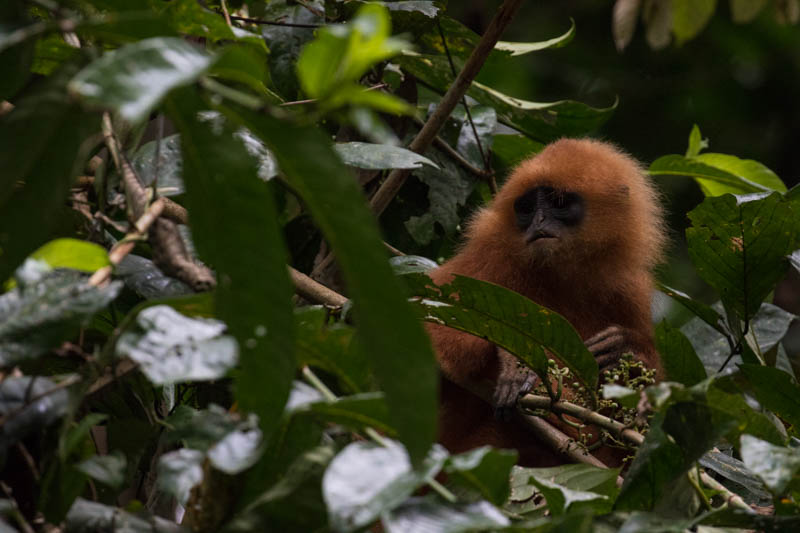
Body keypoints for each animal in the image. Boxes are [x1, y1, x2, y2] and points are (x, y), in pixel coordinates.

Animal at [428, 138, 664, 466]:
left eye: (559, 203)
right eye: (527, 208)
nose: (538, 221)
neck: (561, 276)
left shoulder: (630, 289)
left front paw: (626, 348)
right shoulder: (488, 256)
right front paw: (516, 360)